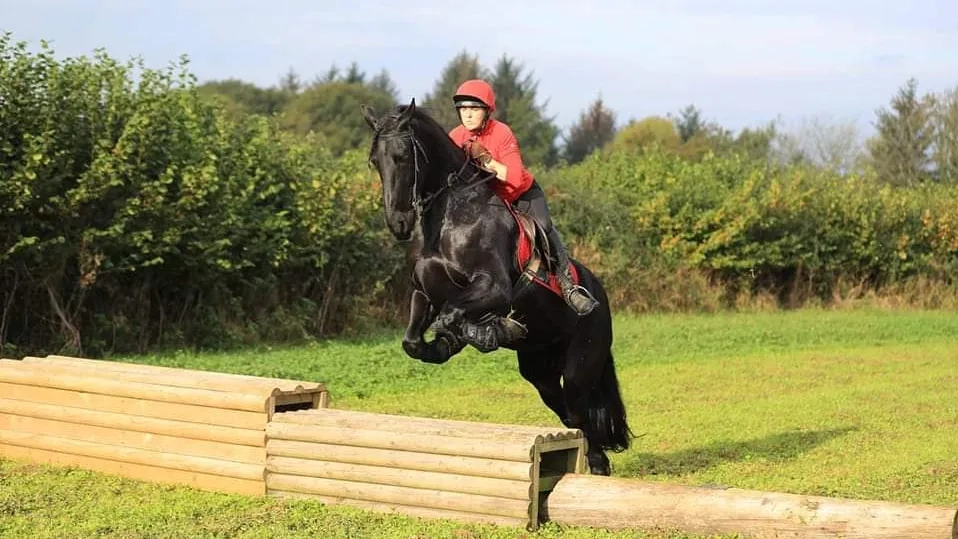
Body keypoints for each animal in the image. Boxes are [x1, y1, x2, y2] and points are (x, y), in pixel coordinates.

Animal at [360, 98, 632, 475]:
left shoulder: (494, 289)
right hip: (540, 368)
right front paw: (446, 345)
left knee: (581, 411)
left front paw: (487, 332)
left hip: (581, 362)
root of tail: (600, 296)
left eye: (402, 156)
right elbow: (413, 340)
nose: (398, 224)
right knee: (568, 412)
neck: (453, 217)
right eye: (375, 160)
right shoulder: (424, 293)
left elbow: (453, 315)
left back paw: (598, 463)